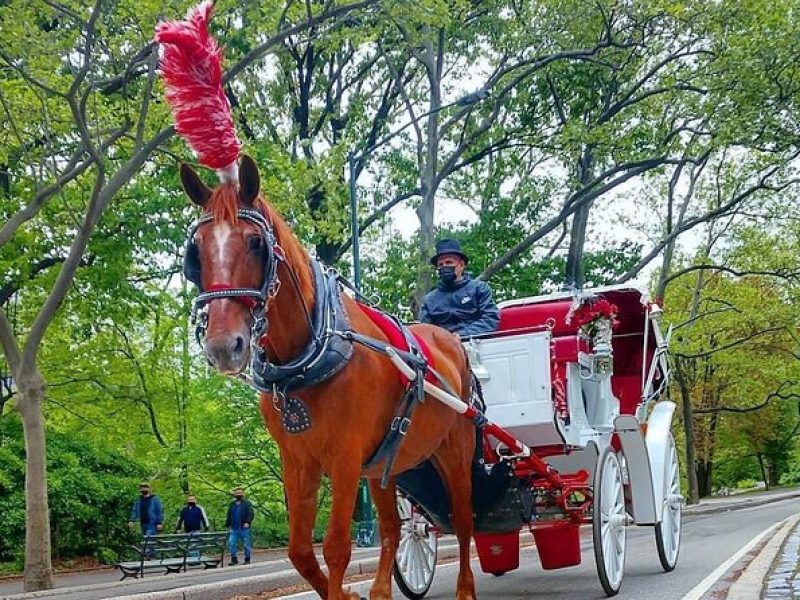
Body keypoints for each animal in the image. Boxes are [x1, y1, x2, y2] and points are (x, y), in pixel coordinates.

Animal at [180, 156, 478, 600]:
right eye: (196, 250)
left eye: (255, 243)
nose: (222, 346)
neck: (305, 360)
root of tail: (453, 342)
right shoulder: (298, 461)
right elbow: (301, 551)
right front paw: (351, 592)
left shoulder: (345, 456)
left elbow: (337, 546)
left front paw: (343, 590)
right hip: (385, 466)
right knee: (393, 529)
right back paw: (381, 590)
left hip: (455, 450)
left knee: (463, 520)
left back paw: (464, 588)